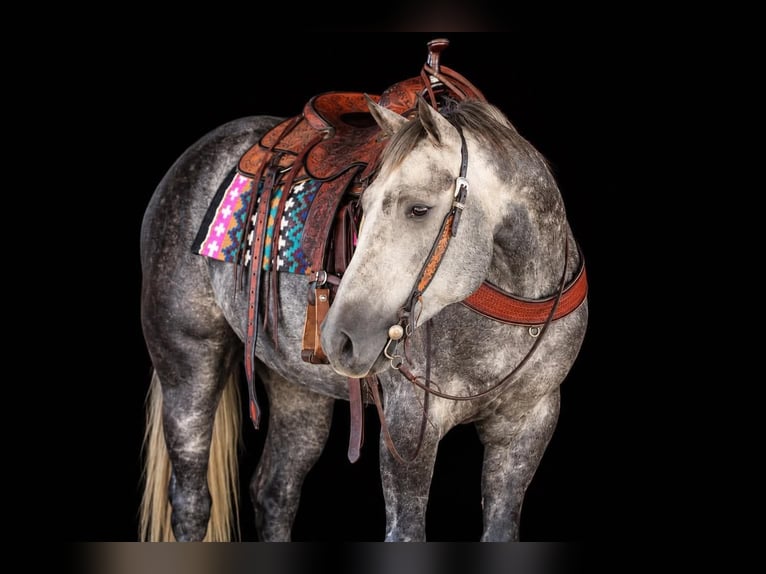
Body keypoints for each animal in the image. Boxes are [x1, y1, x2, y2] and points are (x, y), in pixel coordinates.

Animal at [138, 46, 588, 542]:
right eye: (362, 206)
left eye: (419, 209)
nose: (341, 339)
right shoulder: (409, 426)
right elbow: (406, 531)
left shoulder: (528, 425)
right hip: (188, 364)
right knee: (191, 500)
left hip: (298, 387)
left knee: (275, 491)